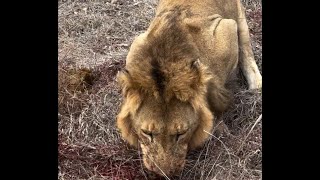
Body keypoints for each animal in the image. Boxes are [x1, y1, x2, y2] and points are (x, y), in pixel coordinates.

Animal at [116, 0, 262, 177]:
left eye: (181, 134)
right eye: (147, 133)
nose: (165, 174)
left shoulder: (226, 28)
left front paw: (218, 125)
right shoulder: (137, 42)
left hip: (238, 17)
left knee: (246, 50)